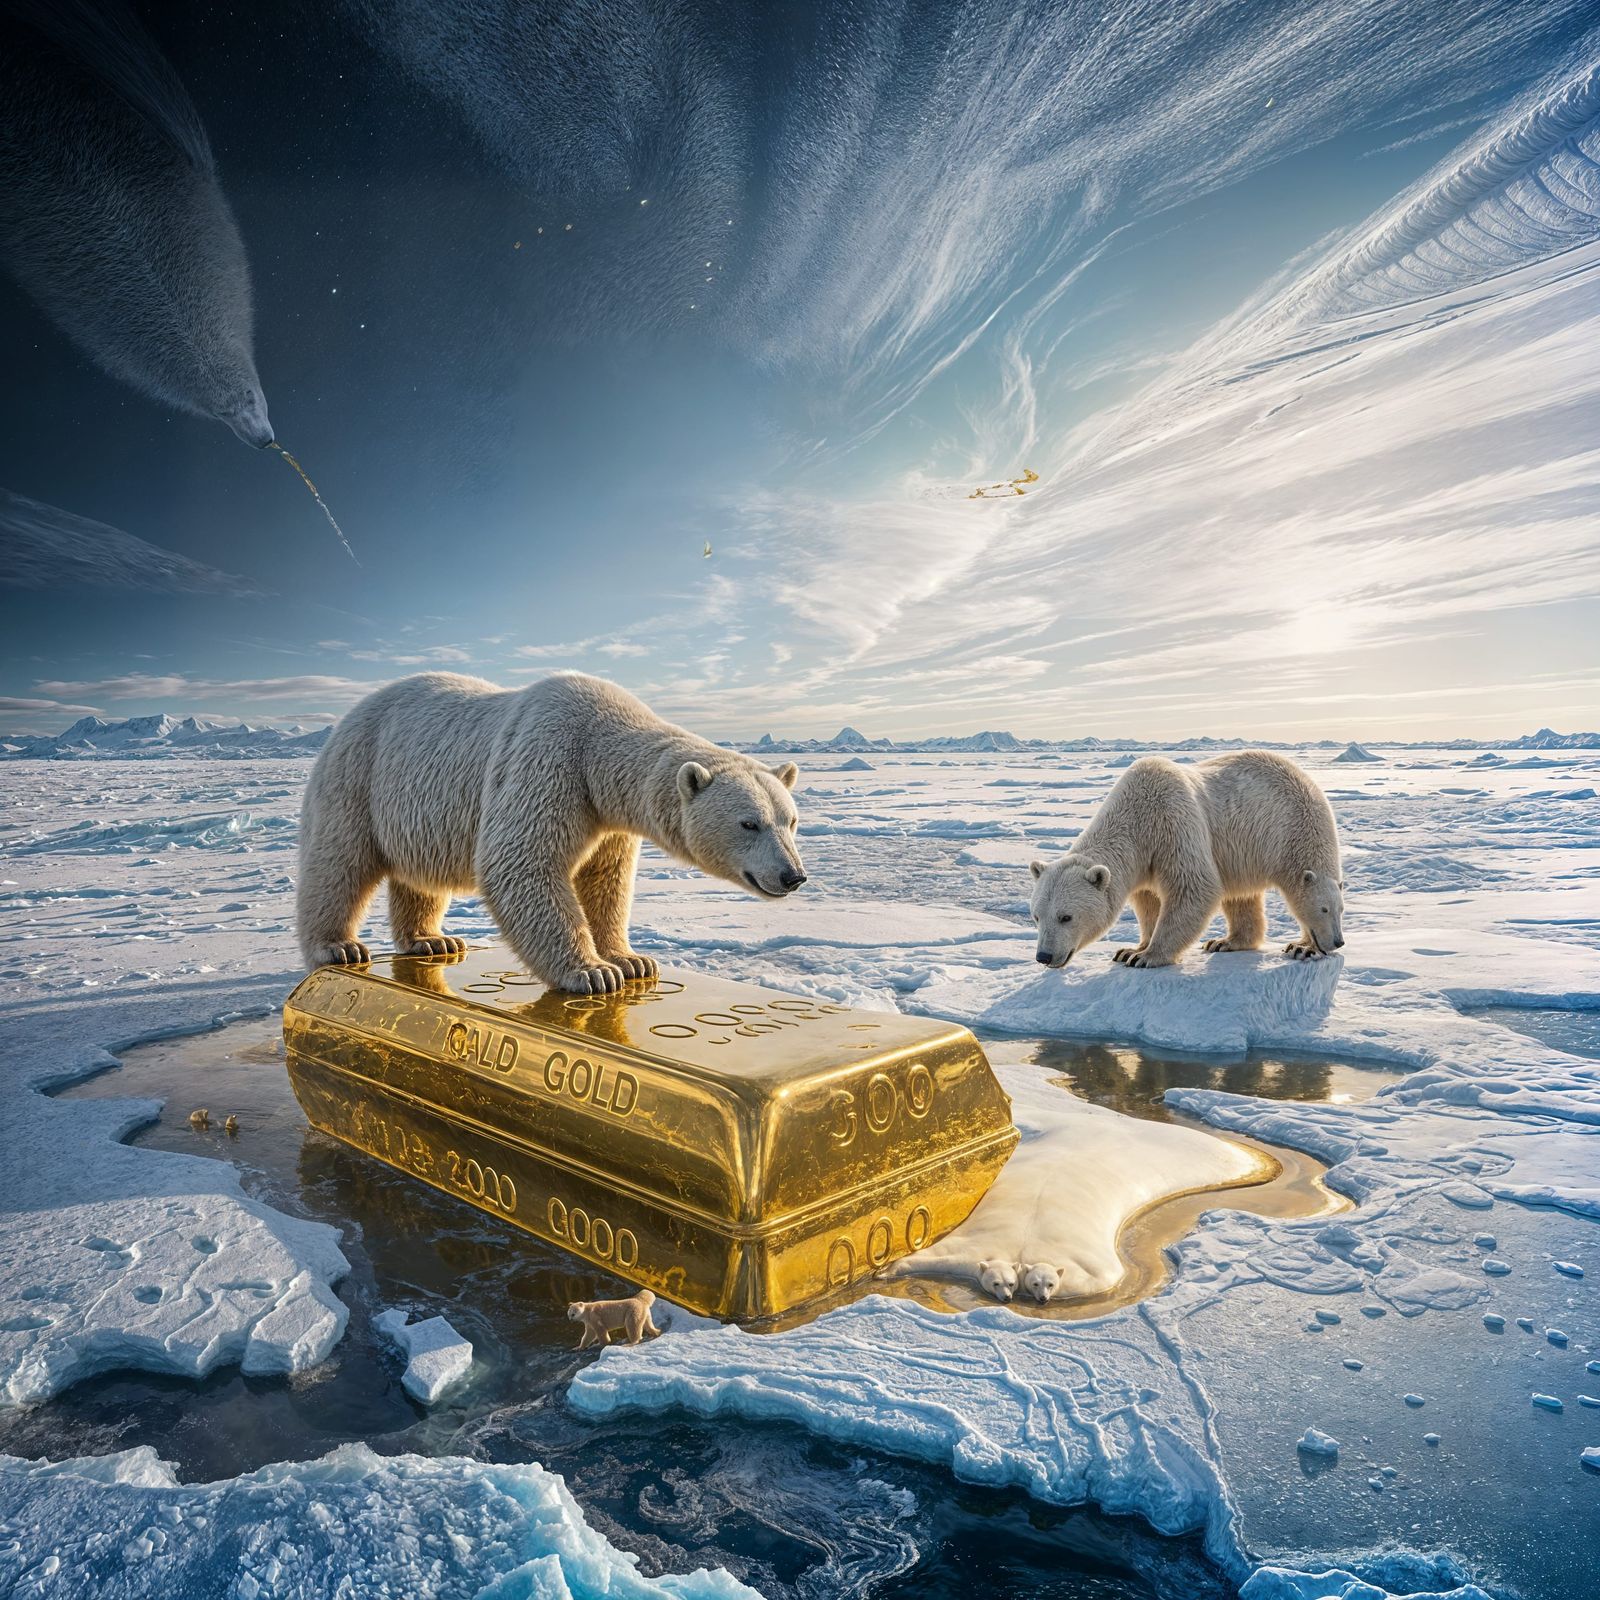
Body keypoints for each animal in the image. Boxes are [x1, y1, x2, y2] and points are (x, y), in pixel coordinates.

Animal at [296, 671, 807, 993]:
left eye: (791, 820)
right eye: (749, 823)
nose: (793, 876)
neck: (599, 744)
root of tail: (348, 717)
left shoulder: (606, 818)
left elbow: (605, 881)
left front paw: (631, 960)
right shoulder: (549, 763)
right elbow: (521, 862)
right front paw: (593, 973)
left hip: (414, 810)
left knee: (419, 874)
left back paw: (432, 939)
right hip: (359, 776)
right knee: (338, 860)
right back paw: (338, 946)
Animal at [1029, 750, 1344, 970]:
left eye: (1066, 916)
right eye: (1036, 916)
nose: (1044, 956)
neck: (1137, 817)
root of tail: (1301, 770)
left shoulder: (1173, 821)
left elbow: (1194, 887)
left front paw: (1147, 957)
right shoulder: (1145, 860)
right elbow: (1147, 901)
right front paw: (1131, 949)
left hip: (1294, 825)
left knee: (1308, 883)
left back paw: (1308, 946)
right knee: (1241, 895)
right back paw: (1226, 942)